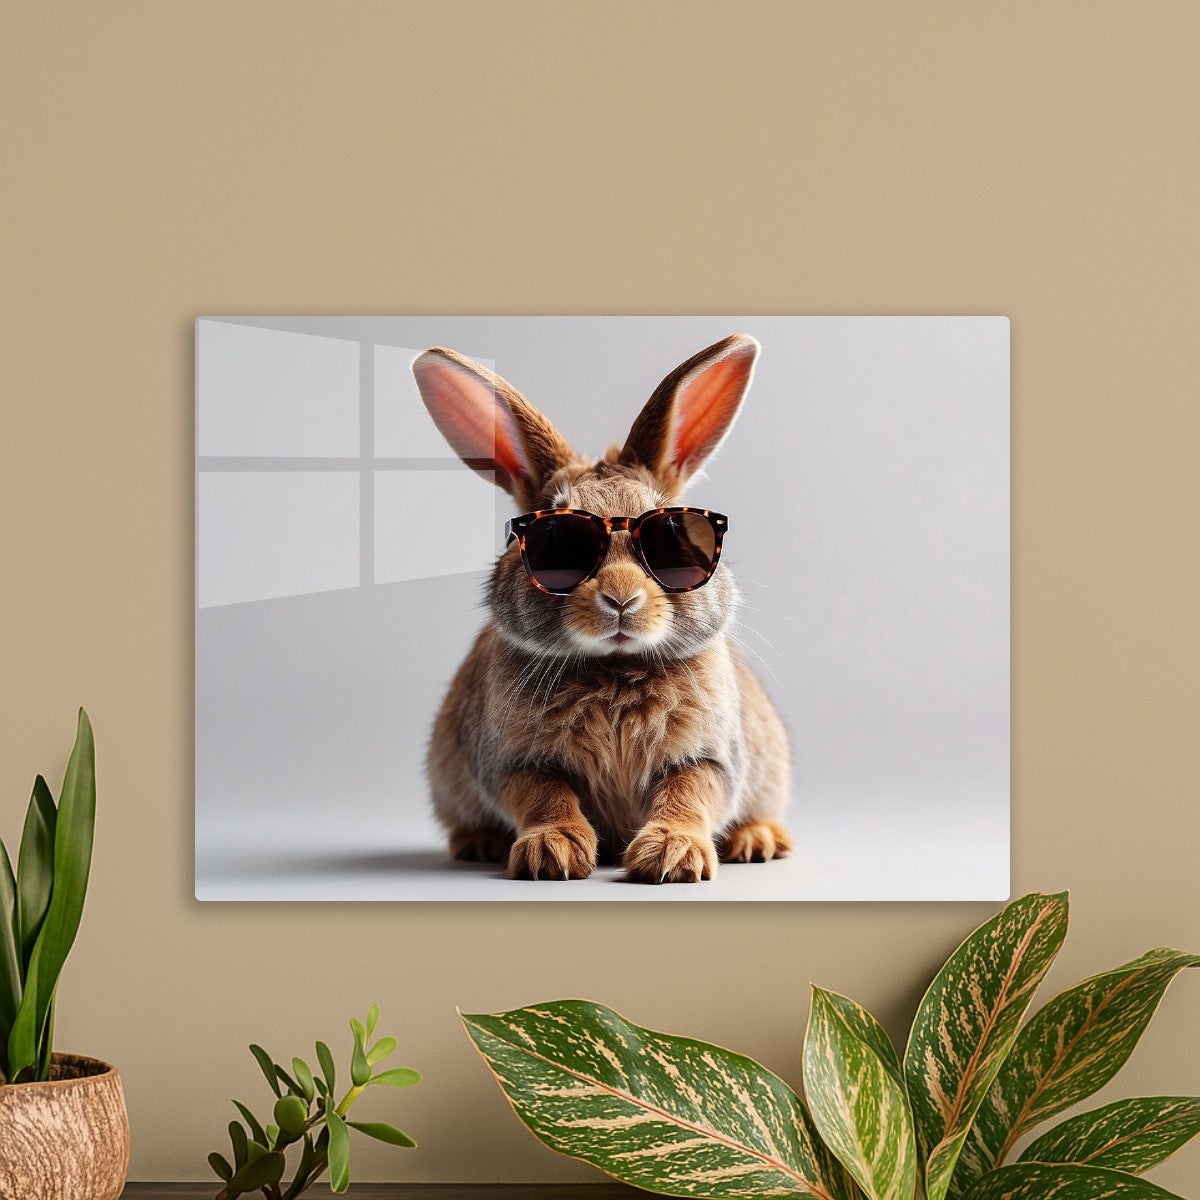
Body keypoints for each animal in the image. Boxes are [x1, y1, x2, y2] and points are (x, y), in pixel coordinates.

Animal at [410, 333, 792, 883]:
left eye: (672, 537)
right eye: (555, 542)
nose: (621, 599)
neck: (615, 667)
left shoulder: (710, 757)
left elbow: (689, 792)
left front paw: (671, 856)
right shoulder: (515, 762)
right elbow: (545, 795)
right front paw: (553, 853)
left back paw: (756, 840)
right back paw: (480, 843)